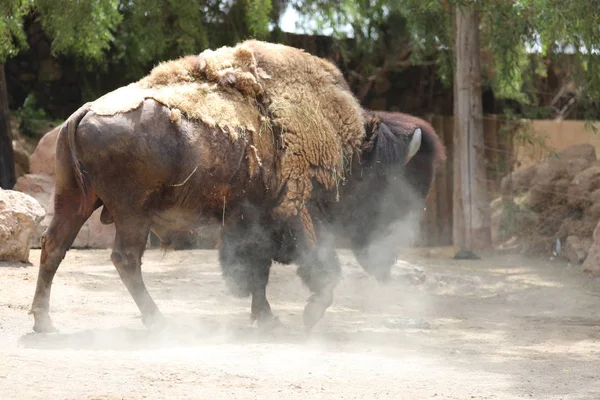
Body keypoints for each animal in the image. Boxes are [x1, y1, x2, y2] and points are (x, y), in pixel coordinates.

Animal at [30, 41, 442, 334]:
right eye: (389, 189)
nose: (389, 256)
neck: (348, 151)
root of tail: (81, 113)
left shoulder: (251, 221)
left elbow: (257, 270)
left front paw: (267, 317)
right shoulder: (296, 213)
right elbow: (314, 269)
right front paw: (304, 317)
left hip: (75, 201)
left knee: (54, 248)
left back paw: (44, 323)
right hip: (132, 213)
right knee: (125, 259)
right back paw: (159, 322)